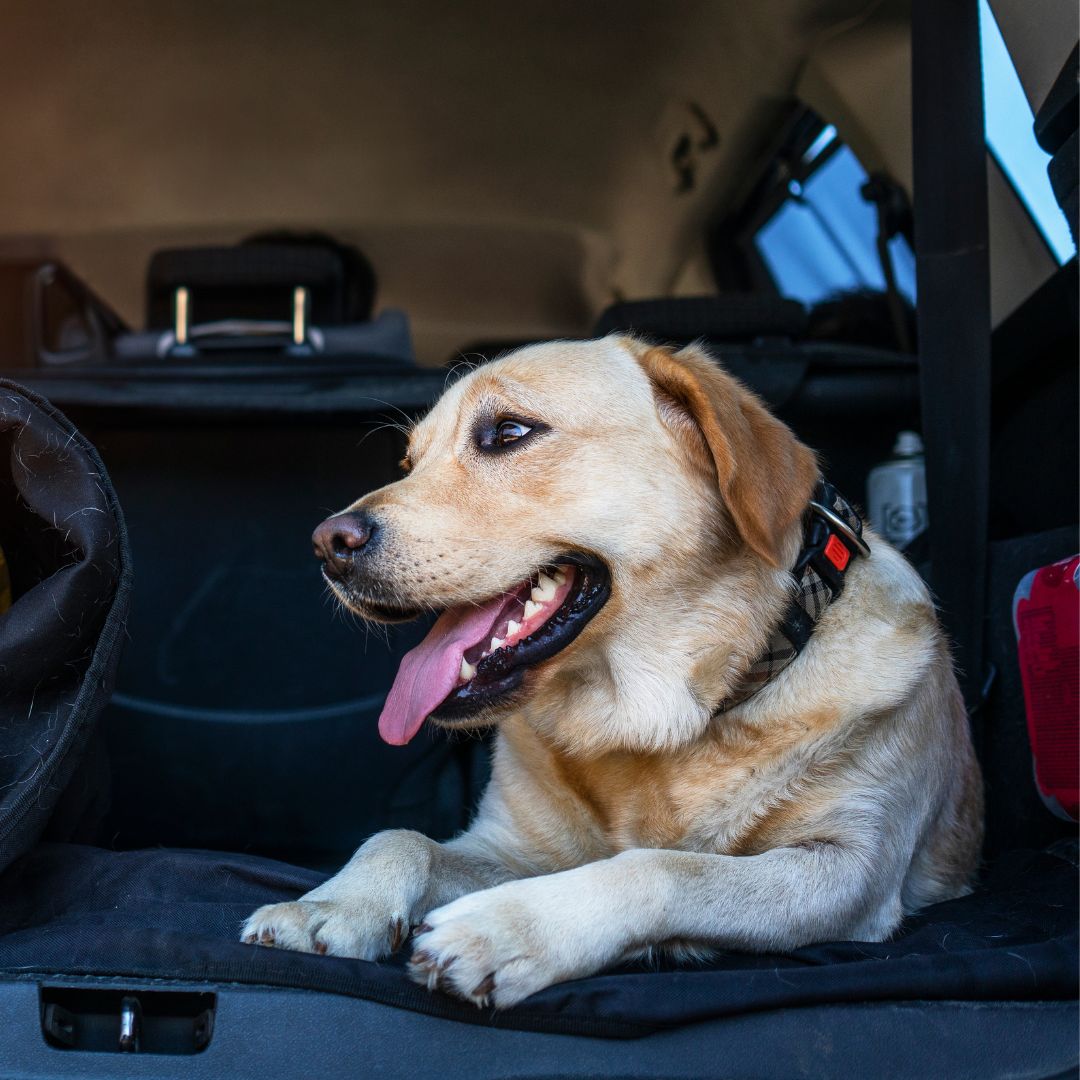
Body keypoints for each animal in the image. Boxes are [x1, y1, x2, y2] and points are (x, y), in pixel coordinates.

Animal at [240, 332, 984, 1006]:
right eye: (409, 460)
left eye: (509, 432)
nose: (328, 544)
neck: (653, 721)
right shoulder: (514, 849)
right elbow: (402, 838)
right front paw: (332, 905)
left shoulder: (847, 870)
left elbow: (663, 866)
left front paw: (508, 928)